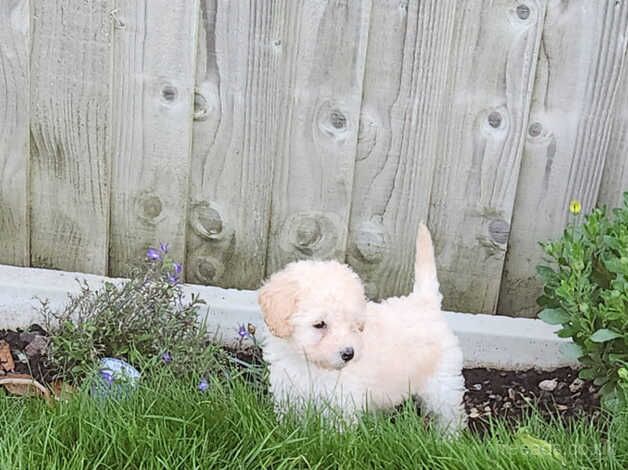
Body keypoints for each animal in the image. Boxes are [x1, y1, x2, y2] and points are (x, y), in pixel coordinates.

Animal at [256, 224, 466, 434]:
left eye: (353, 325)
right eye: (320, 324)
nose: (349, 354)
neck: (308, 363)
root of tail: (425, 301)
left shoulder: (341, 403)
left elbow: (336, 434)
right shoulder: (288, 392)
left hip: (442, 381)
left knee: (451, 413)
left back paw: (447, 437)